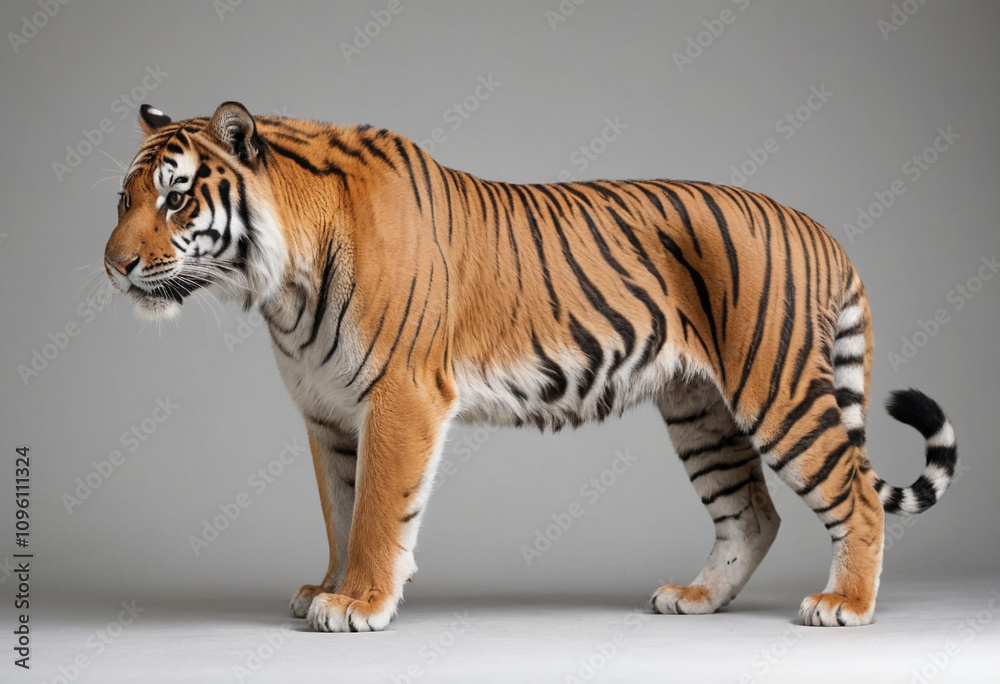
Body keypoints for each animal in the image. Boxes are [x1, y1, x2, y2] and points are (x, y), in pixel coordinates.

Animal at [103, 101, 958, 632]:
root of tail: (819, 228)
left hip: (773, 389)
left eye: (177, 199)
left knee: (857, 494)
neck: (279, 287)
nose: (113, 266)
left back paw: (844, 605)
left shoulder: (400, 399)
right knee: (752, 512)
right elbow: (340, 513)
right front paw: (329, 586)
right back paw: (694, 598)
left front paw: (359, 603)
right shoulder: (327, 415)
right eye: (123, 198)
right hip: (700, 411)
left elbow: (378, 511)